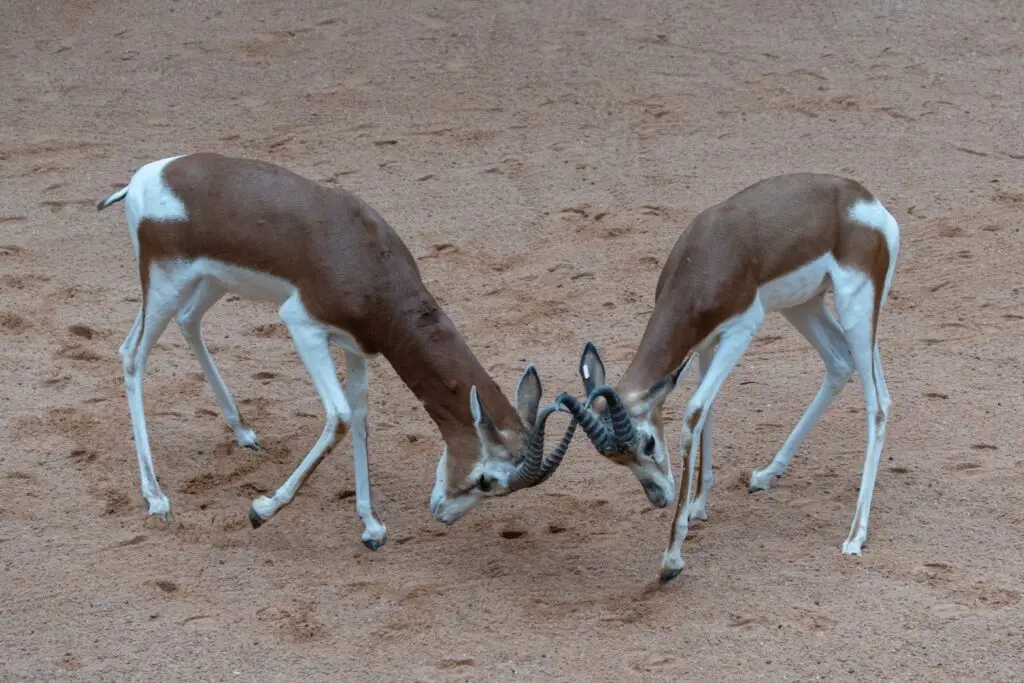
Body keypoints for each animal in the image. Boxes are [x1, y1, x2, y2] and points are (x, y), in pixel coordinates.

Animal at [95, 152, 576, 550]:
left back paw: (244, 432)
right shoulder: (303, 325)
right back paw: (157, 498)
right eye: (486, 480)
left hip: (208, 282)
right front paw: (261, 510)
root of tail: (143, 178)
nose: (442, 514)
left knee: (187, 322)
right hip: (165, 283)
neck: (367, 260)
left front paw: (371, 526)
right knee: (132, 355)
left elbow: (361, 418)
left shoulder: (356, 345)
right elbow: (341, 416)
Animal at [555, 173, 899, 582]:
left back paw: (855, 535)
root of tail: (867, 202)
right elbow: (709, 409)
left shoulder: (741, 331)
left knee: (878, 403)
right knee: (841, 362)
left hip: (855, 305)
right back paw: (766, 475)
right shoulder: (704, 342)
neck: (708, 255)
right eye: (616, 460)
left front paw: (672, 558)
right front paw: (698, 505)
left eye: (649, 443)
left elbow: (693, 412)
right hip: (805, 304)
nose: (659, 498)